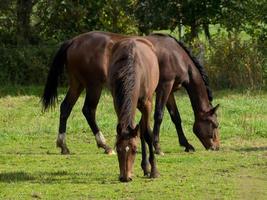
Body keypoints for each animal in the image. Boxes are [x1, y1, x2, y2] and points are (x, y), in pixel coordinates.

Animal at [42, 30, 221, 155]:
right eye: (214, 124)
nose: (216, 147)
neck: (176, 55)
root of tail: (74, 41)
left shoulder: (169, 91)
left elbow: (175, 117)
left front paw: (186, 144)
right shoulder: (165, 86)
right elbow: (159, 115)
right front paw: (157, 146)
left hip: (77, 84)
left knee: (65, 108)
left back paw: (64, 145)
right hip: (94, 86)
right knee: (88, 110)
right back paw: (105, 145)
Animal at [108, 38, 160, 182]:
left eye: (134, 150)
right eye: (117, 149)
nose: (125, 178)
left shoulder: (147, 104)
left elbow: (148, 134)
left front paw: (154, 171)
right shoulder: (117, 103)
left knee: (142, 129)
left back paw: (147, 168)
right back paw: (145, 167)